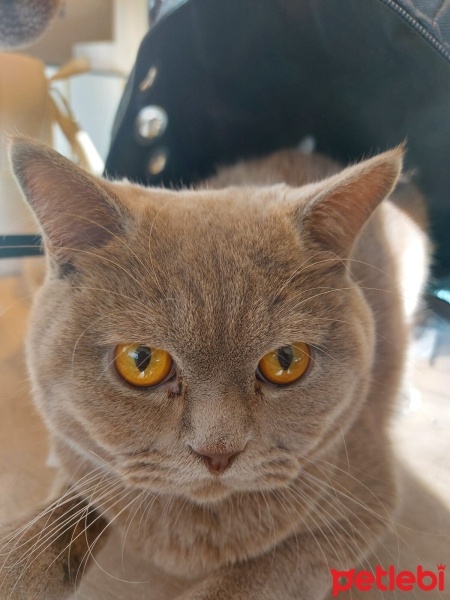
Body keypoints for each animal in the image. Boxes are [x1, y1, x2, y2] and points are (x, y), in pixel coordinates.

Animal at [0, 137, 428, 600]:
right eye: (141, 360)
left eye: (286, 360)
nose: (218, 451)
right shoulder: (88, 462)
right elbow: (62, 510)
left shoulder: (360, 506)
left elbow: (248, 579)